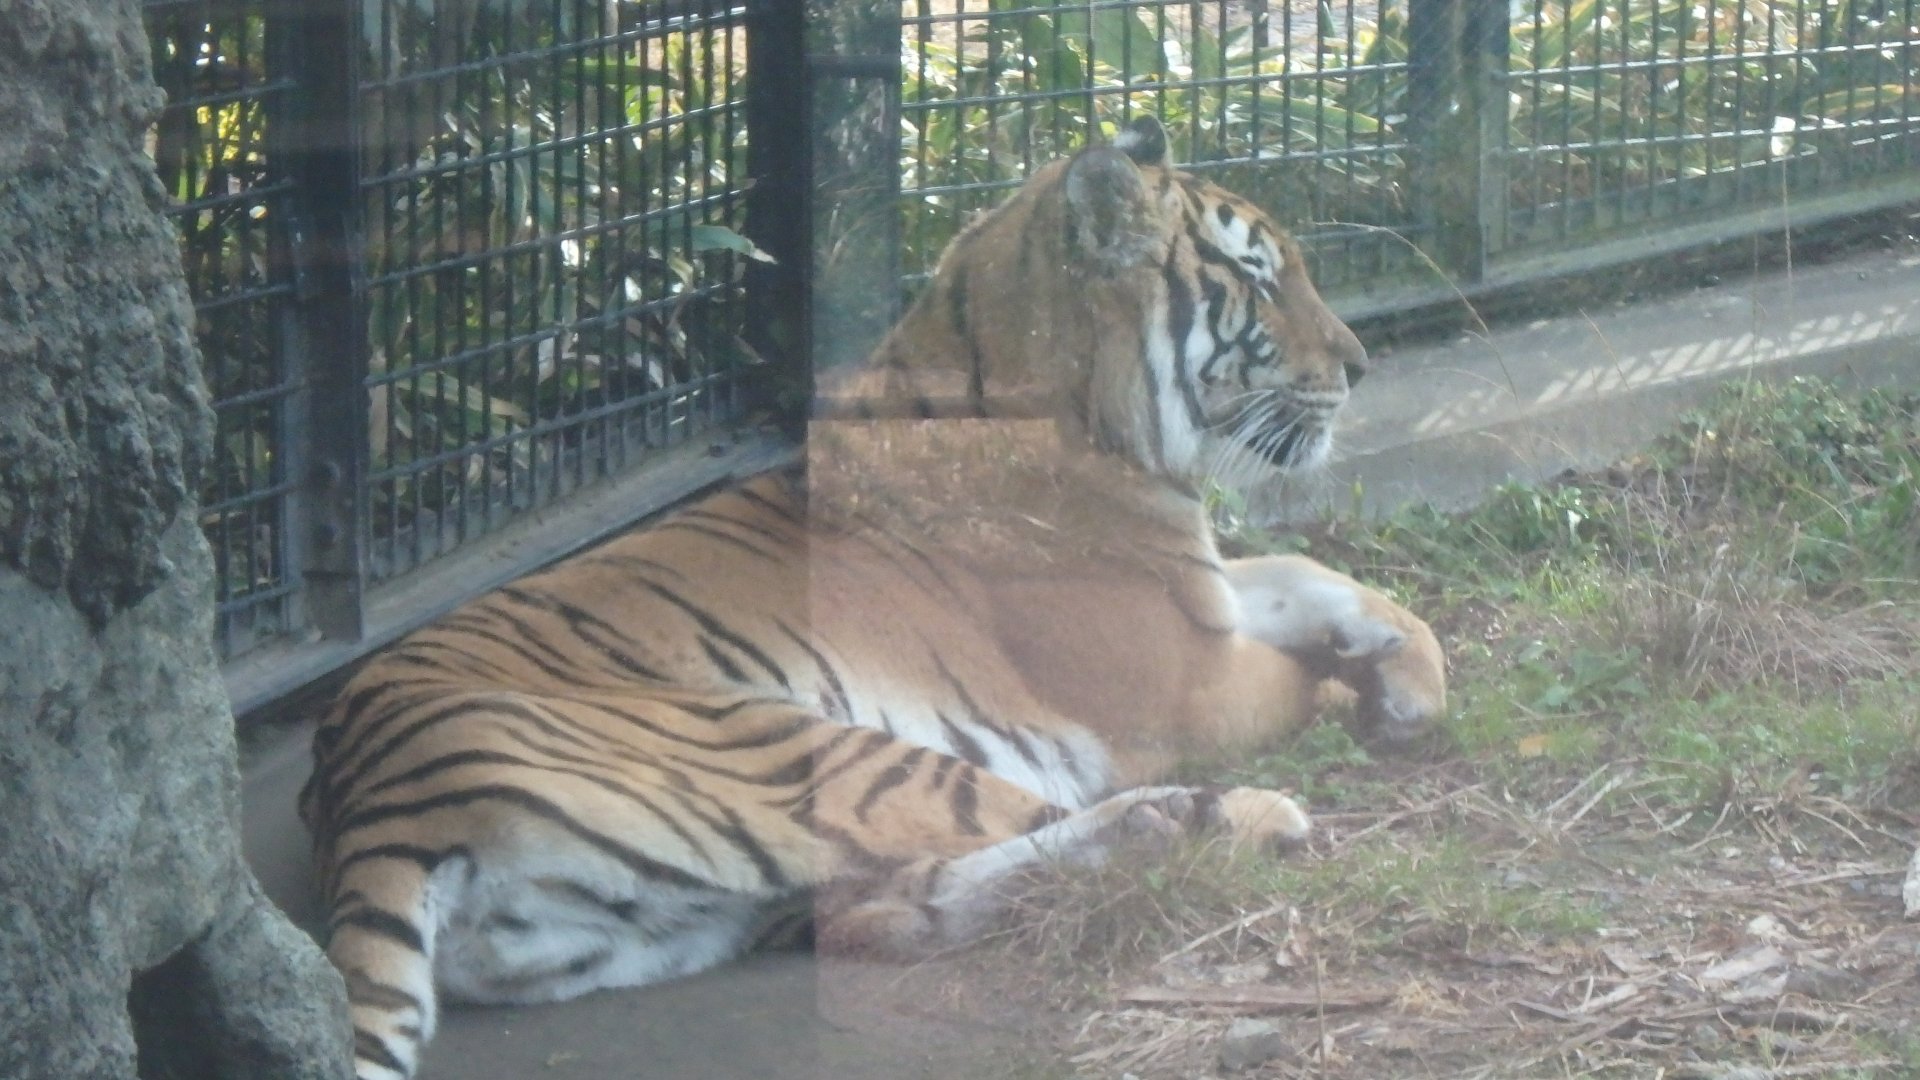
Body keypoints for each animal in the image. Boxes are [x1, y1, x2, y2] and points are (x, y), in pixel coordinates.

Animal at [304, 116, 1448, 1080]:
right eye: (1258, 279)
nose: (1359, 364)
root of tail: (365, 809)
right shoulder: (1182, 680)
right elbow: (1292, 669)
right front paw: (1374, 697)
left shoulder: (1194, 591)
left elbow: (1313, 577)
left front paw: (1408, 677)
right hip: (806, 752)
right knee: (1015, 835)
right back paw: (1233, 819)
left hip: (690, 918)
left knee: (895, 911)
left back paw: (1167, 827)